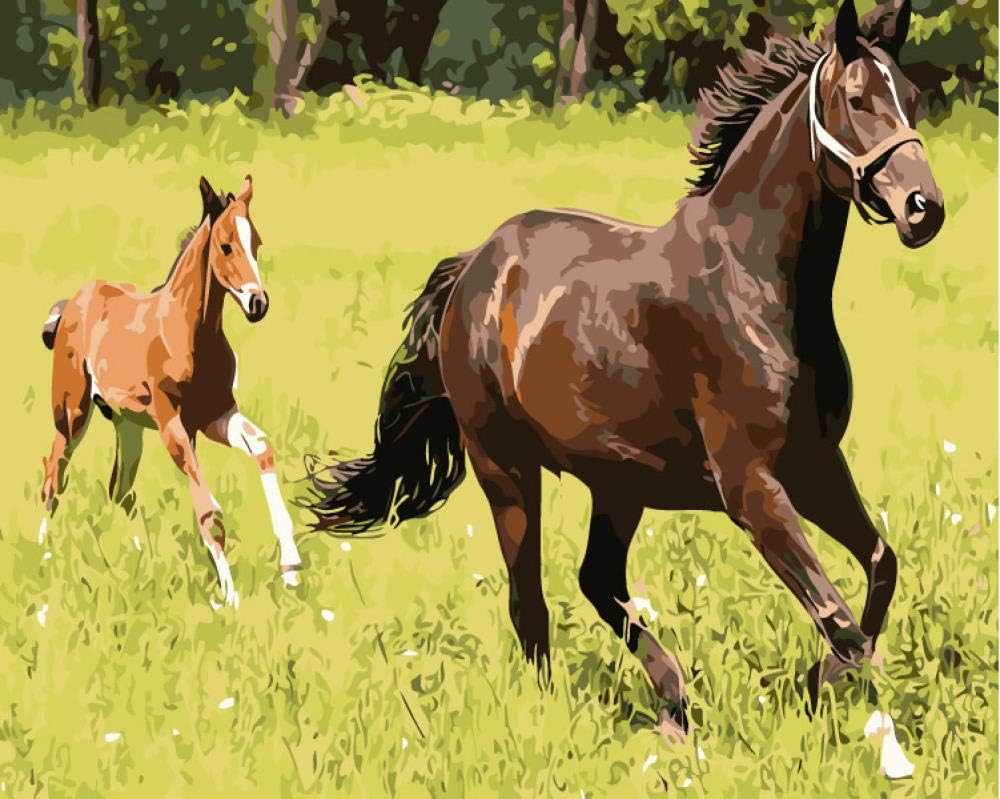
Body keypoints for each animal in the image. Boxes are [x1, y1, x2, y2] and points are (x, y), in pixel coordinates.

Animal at [39, 176, 302, 607]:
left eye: (257, 243)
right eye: (226, 245)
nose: (257, 303)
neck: (189, 331)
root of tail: (72, 302)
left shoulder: (215, 416)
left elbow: (262, 447)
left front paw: (291, 568)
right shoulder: (172, 424)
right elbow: (209, 513)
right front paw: (230, 598)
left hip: (127, 424)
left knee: (119, 489)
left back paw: (135, 557)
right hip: (71, 412)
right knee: (53, 475)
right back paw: (44, 550)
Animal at [306, 0, 943, 740]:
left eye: (912, 97)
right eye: (857, 99)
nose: (924, 209)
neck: (755, 283)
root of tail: (473, 269)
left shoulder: (814, 464)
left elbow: (878, 570)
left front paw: (817, 685)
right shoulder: (750, 484)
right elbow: (837, 616)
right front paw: (823, 691)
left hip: (619, 482)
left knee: (596, 580)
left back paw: (672, 705)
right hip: (506, 469)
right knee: (531, 601)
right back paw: (562, 716)